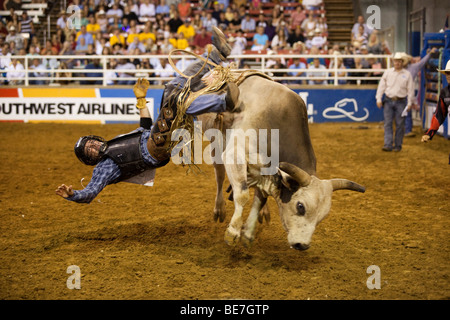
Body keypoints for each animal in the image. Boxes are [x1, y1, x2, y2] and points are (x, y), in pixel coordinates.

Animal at [198, 75, 366, 250]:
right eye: (300, 206)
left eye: (322, 216)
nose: (302, 245)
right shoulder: (235, 154)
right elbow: (243, 194)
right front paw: (233, 231)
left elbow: (261, 197)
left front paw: (248, 233)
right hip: (215, 140)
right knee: (219, 174)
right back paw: (219, 209)